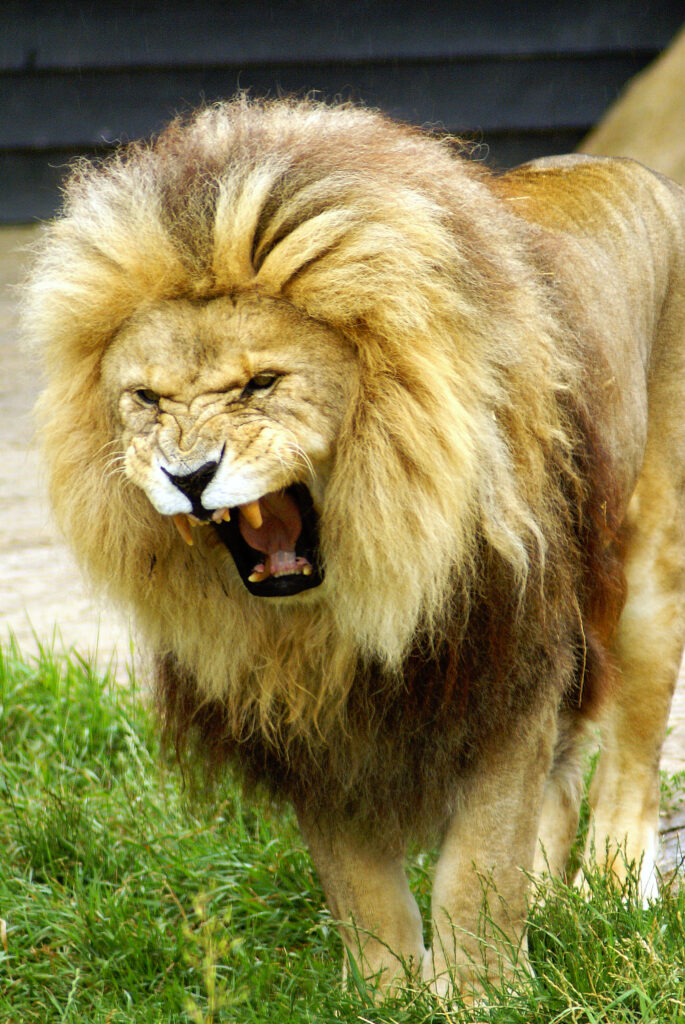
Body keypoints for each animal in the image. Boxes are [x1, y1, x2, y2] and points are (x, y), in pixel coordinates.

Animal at [22, 96, 685, 999]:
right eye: (147, 398)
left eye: (261, 383)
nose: (187, 475)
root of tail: (622, 165)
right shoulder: (309, 717)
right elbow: (359, 884)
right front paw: (388, 993)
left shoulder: (505, 662)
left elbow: (480, 865)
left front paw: (482, 995)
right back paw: (552, 905)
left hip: (651, 579)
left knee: (630, 759)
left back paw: (612, 893)